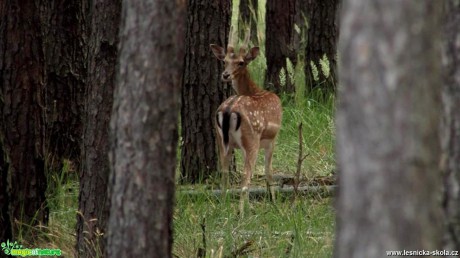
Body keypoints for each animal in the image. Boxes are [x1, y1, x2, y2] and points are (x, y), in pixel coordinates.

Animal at [210, 27, 282, 212]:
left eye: (240, 62)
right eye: (225, 61)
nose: (225, 75)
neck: (256, 91)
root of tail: (228, 110)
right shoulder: (272, 138)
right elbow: (269, 171)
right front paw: (273, 202)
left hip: (221, 140)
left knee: (225, 175)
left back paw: (224, 208)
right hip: (252, 139)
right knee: (244, 178)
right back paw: (241, 213)